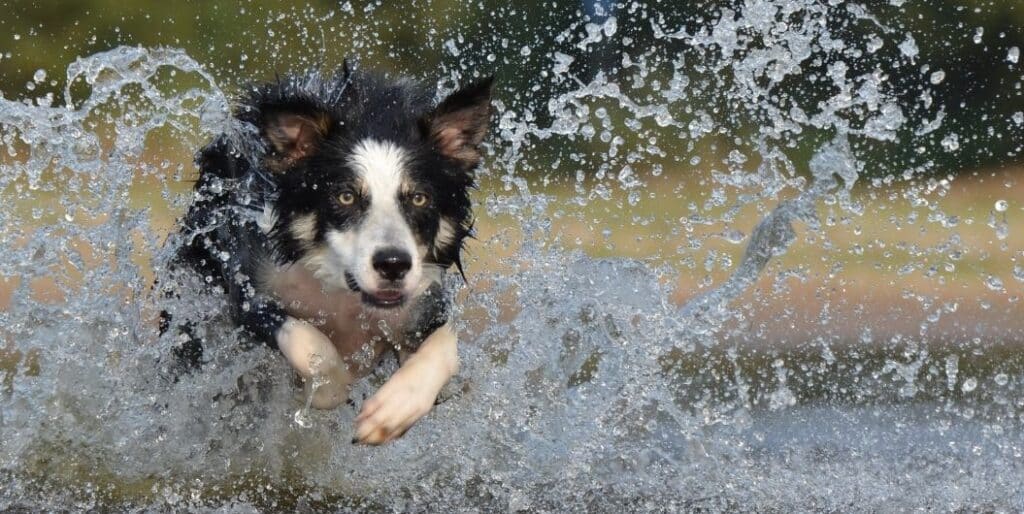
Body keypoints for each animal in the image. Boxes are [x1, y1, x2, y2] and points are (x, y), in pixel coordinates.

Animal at [158, 62, 491, 444]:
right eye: (345, 196)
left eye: (419, 198)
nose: (393, 264)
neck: (342, 292)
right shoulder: (249, 288)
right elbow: (310, 343)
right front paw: (325, 389)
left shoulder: (423, 303)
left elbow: (446, 347)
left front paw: (392, 410)